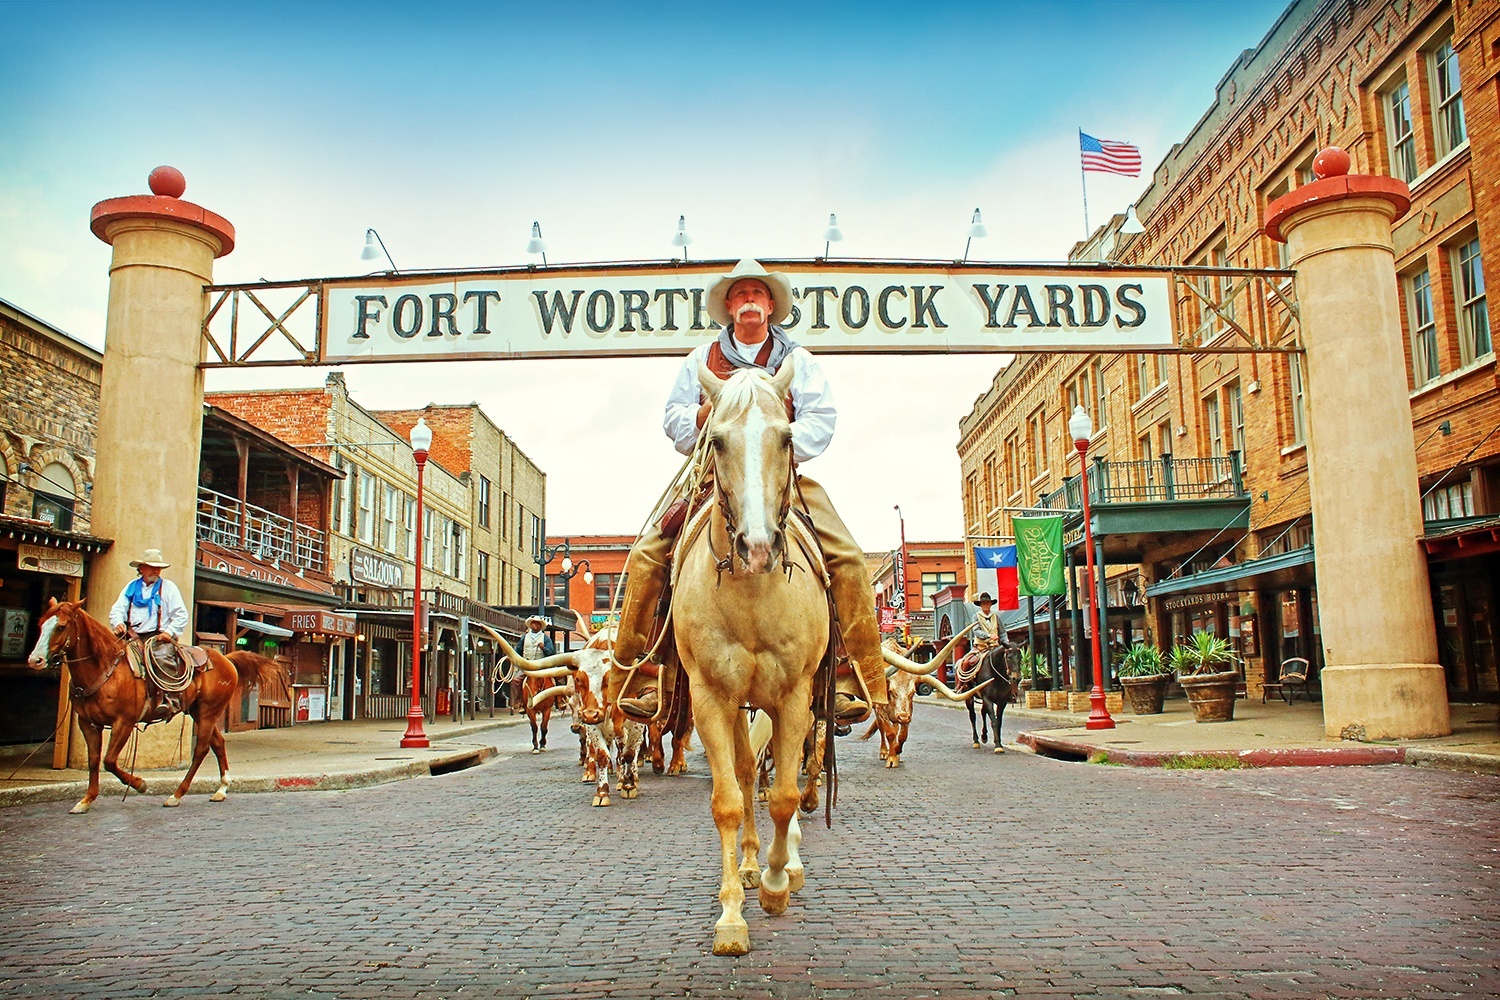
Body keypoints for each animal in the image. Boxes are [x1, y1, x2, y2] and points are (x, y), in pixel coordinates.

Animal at [27, 602, 283, 815]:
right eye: (41, 624)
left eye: (60, 626)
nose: (34, 660)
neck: (105, 668)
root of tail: (226, 659)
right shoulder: (88, 723)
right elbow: (93, 760)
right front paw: (86, 800)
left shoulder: (124, 722)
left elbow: (109, 760)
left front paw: (140, 784)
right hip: (199, 712)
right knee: (218, 743)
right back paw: (221, 789)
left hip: (209, 712)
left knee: (201, 750)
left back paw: (176, 794)